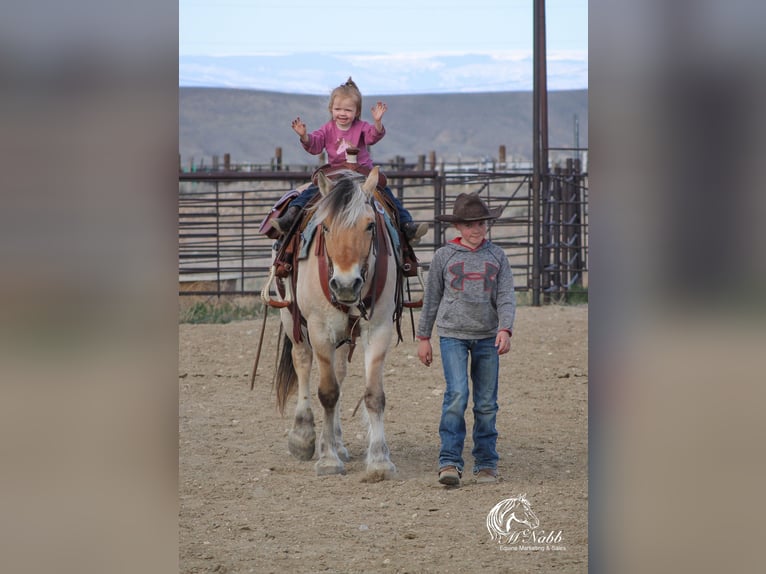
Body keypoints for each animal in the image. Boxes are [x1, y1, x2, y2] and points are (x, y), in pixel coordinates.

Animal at [262, 169, 400, 484]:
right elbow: (327, 392)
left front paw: (379, 461)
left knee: (339, 373)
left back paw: (336, 441)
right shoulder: (319, 330)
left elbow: (374, 395)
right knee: (302, 363)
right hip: (291, 318)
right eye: (325, 227)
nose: (346, 285)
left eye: (370, 226)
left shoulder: (379, 329)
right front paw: (327, 460)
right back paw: (304, 437)